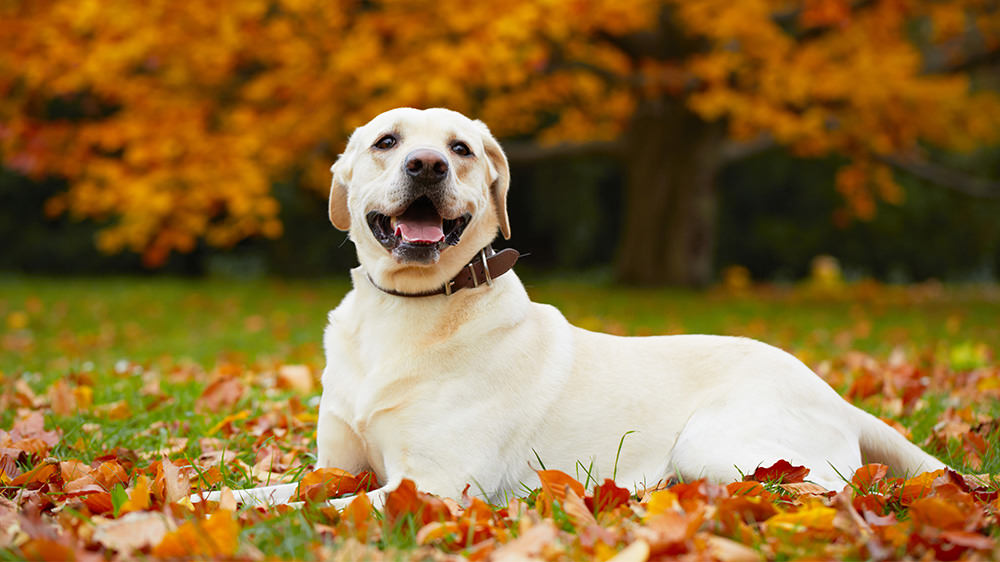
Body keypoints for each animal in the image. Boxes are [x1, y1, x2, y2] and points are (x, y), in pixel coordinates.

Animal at [193, 106, 944, 508]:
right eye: (387, 143)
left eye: (461, 150)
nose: (429, 165)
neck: (409, 311)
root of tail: (835, 393)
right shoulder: (338, 465)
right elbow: (273, 494)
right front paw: (202, 503)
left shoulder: (431, 484)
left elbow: (327, 507)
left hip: (718, 444)